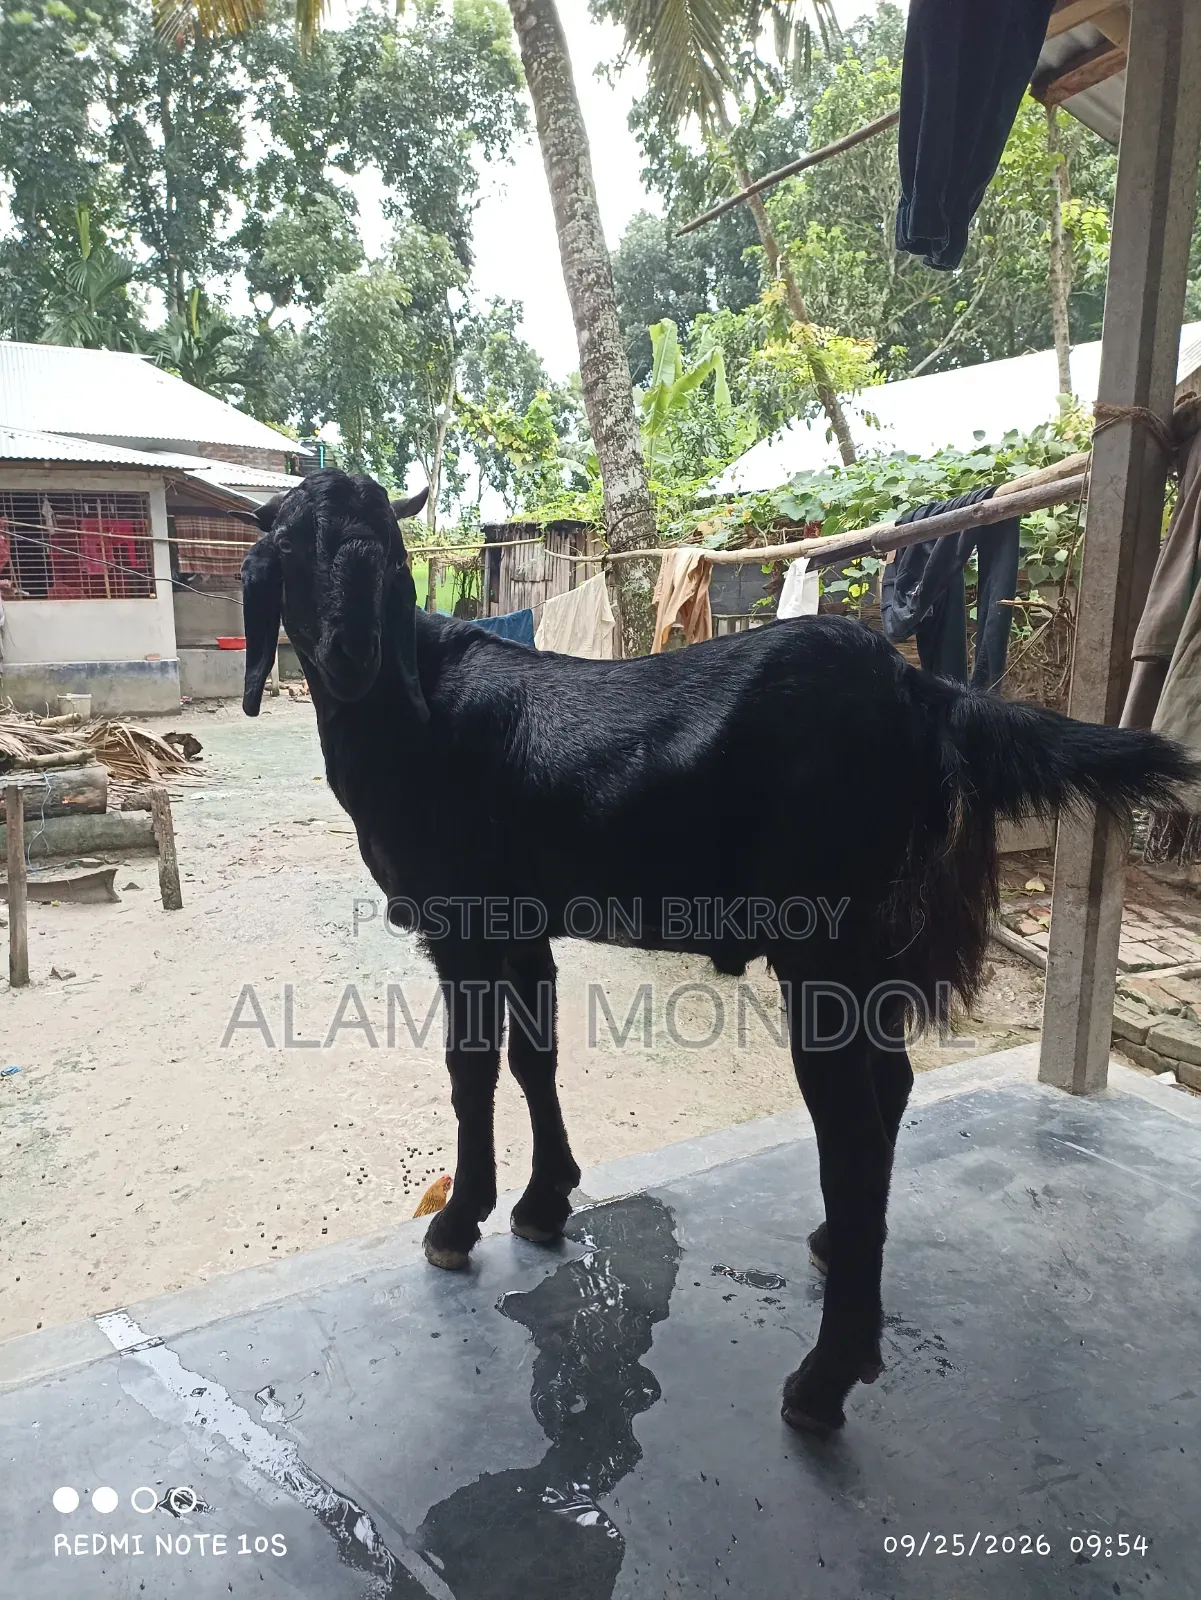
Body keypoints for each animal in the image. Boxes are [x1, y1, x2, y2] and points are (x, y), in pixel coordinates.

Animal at [242, 468, 1192, 1438]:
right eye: (291, 550)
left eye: (388, 560)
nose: (354, 652)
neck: (415, 714)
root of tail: (918, 691)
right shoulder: (523, 924)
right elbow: (536, 1059)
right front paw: (545, 1201)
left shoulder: (462, 922)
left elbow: (470, 1071)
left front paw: (457, 1223)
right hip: (867, 950)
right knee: (889, 1088)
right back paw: (836, 1249)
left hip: (824, 946)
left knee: (850, 1132)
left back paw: (825, 1376)